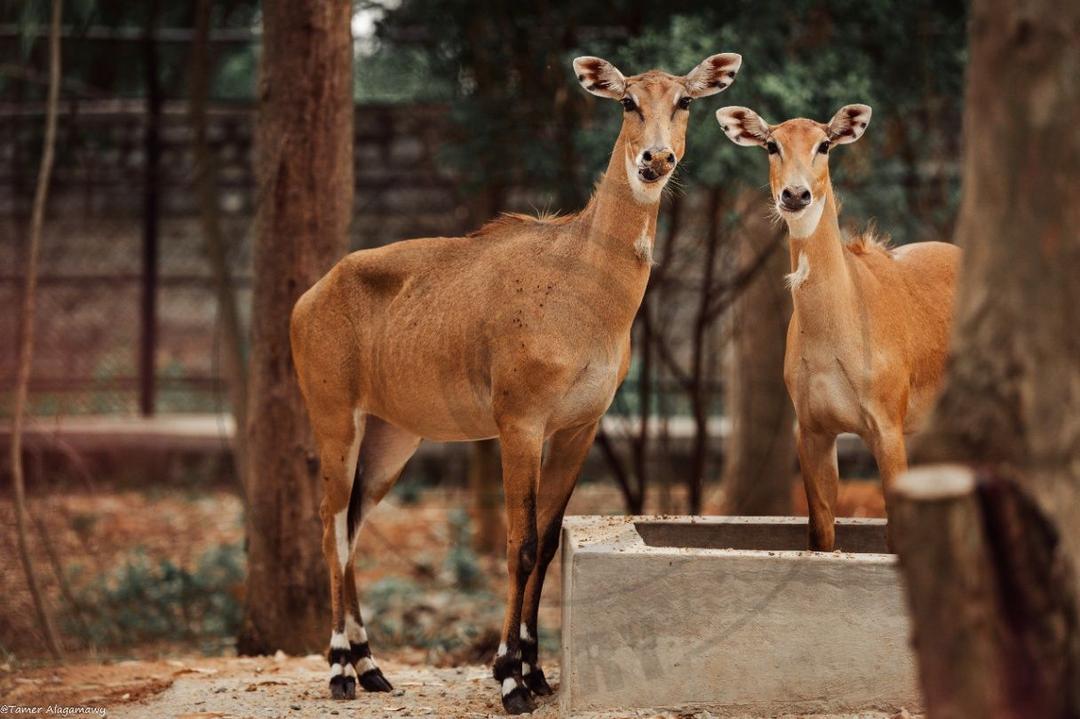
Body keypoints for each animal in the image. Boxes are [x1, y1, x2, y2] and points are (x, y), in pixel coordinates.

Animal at [287, 51, 743, 712]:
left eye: (684, 101)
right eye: (627, 101)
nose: (655, 160)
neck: (583, 281)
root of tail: (310, 296)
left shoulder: (578, 427)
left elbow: (548, 542)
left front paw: (536, 670)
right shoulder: (520, 422)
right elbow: (518, 544)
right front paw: (508, 678)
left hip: (392, 437)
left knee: (351, 522)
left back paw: (372, 666)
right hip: (334, 418)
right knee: (330, 529)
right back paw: (342, 669)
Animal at [717, 102, 963, 548]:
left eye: (825, 144)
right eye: (771, 145)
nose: (795, 194)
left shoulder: (887, 424)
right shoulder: (812, 429)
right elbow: (821, 532)